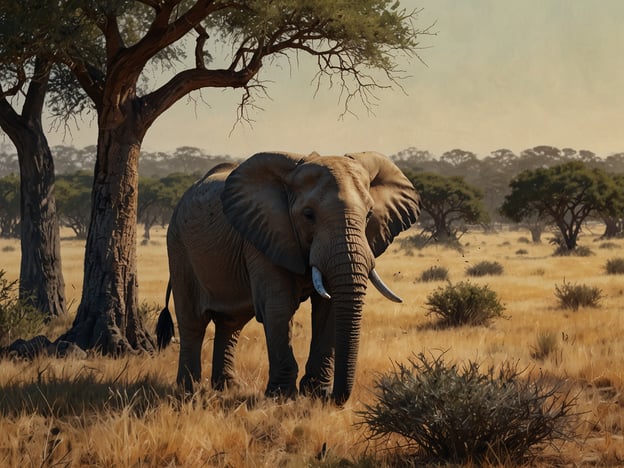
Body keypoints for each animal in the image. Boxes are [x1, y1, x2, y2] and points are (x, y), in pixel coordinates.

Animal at [155, 151, 420, 406]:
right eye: (308, 215)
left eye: (369, 215)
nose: (334, 399)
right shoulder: (264, 234)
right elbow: (279, 307)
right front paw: (282, 397)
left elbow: (329, 308)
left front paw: (315, 394)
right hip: (179, 249)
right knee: (193, 321)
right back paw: (188, 391)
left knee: (231, 323)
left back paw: (229, 388)